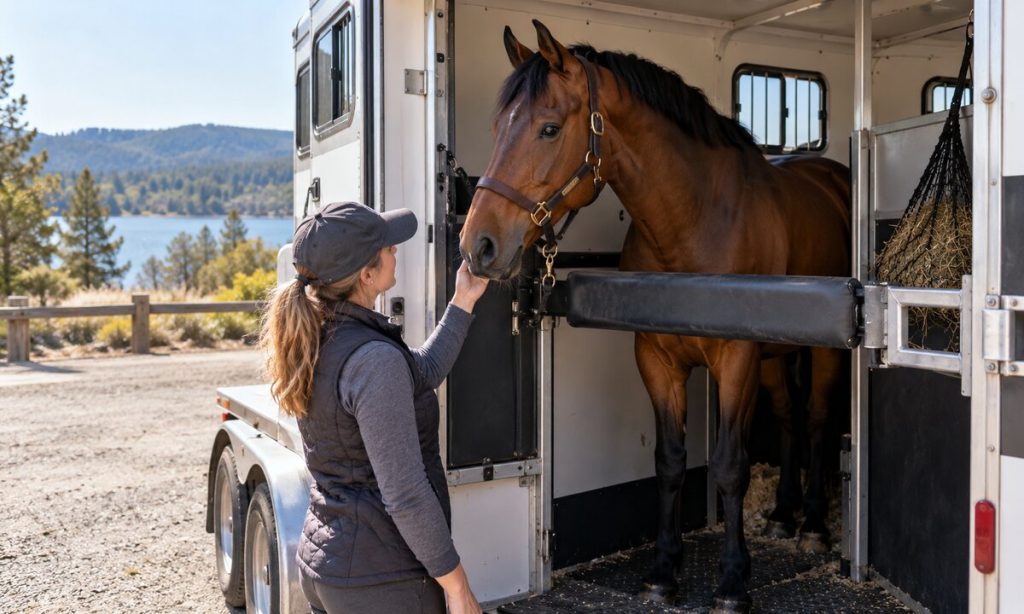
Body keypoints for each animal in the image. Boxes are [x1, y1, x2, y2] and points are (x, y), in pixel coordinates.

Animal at [459, 20, 850, 614]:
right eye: (497, 126)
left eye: (549, 128)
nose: (477, 245)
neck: (696, 221)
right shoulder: (656, 358)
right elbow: (668, 461)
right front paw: (664, 571)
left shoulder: (735, 359)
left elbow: (730, 465)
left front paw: (732, 583)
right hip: (773, 357)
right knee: (787, 417)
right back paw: (782, 517)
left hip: (818, 354)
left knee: (818, 419)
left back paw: (813, 526)